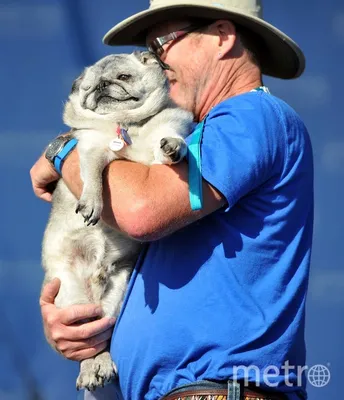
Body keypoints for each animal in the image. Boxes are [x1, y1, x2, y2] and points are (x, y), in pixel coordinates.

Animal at [41, 51, 194, 392]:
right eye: (88, 88)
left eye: (123, 77)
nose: (102, 86)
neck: (128, 125)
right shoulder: (92, 149)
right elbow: (93, 177)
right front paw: (91, 202)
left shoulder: (166, 133)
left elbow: (169, 141)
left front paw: (175, 147)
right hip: (71, 299)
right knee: (90, 343)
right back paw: (91, 368)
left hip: (117, 292)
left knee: (104, 334)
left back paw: (101, 364)